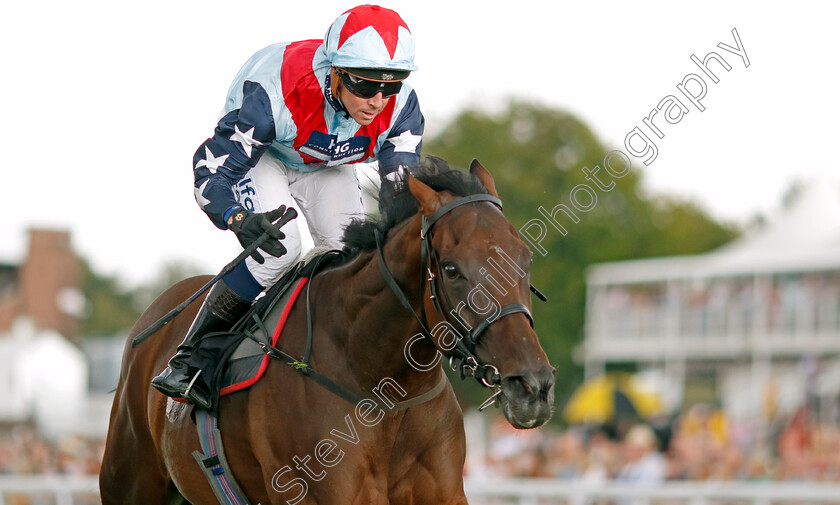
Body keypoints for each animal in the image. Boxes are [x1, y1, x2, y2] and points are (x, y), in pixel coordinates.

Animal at [100, 158, 556, 504]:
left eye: (526, 259)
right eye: (451, 269)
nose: (532, 386)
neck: (386, 392)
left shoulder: (443, 493)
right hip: (130, 480)